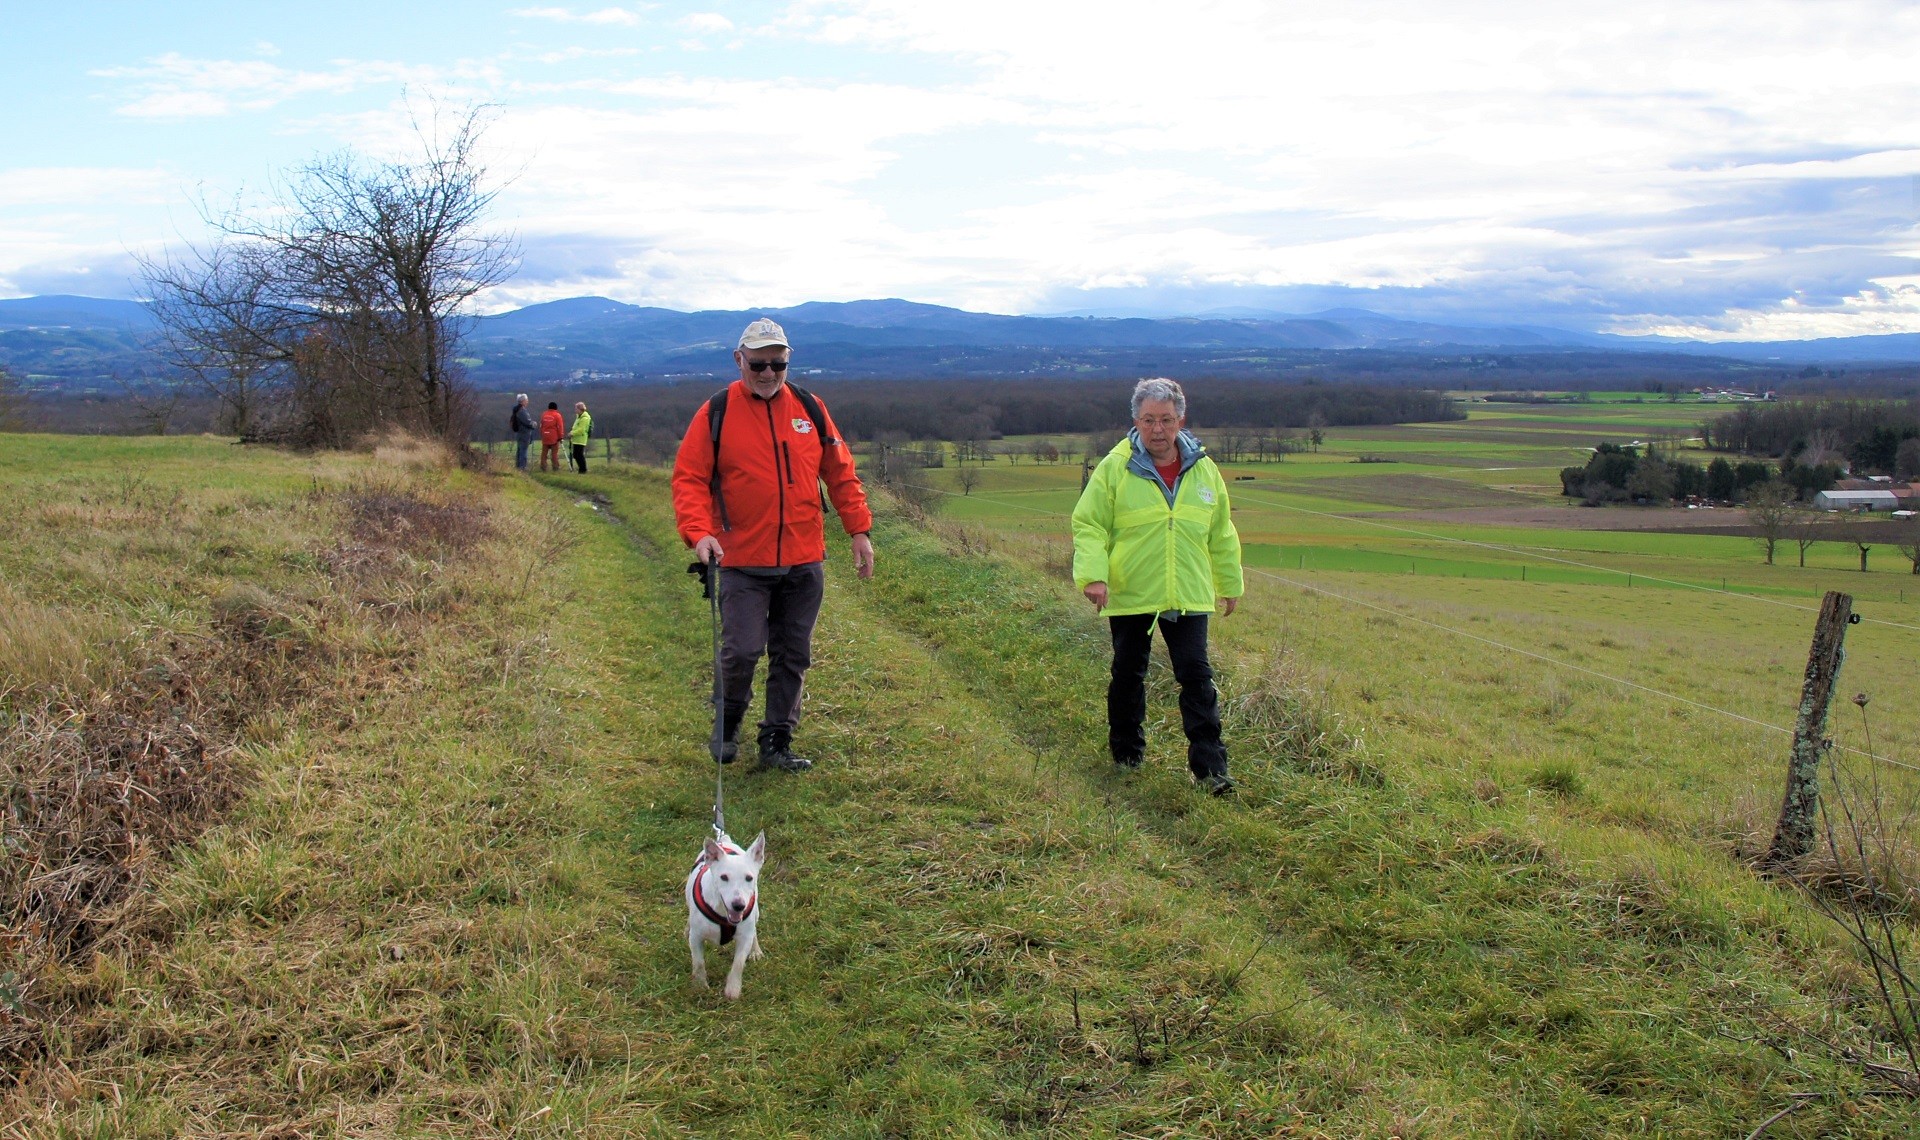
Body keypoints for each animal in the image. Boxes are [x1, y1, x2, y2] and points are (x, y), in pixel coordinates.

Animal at [679, 825, 760, 997]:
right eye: (724, 877)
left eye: (749, 878)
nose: (738, 905)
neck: (724, 914)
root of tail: (724, 841)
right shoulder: (696, 937)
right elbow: (698, 962)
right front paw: (700, 985)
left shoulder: (744, 938)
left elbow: (738, 963)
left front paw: (733, 989)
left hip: (755, 911)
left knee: (754, 931)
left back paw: (756, 950)